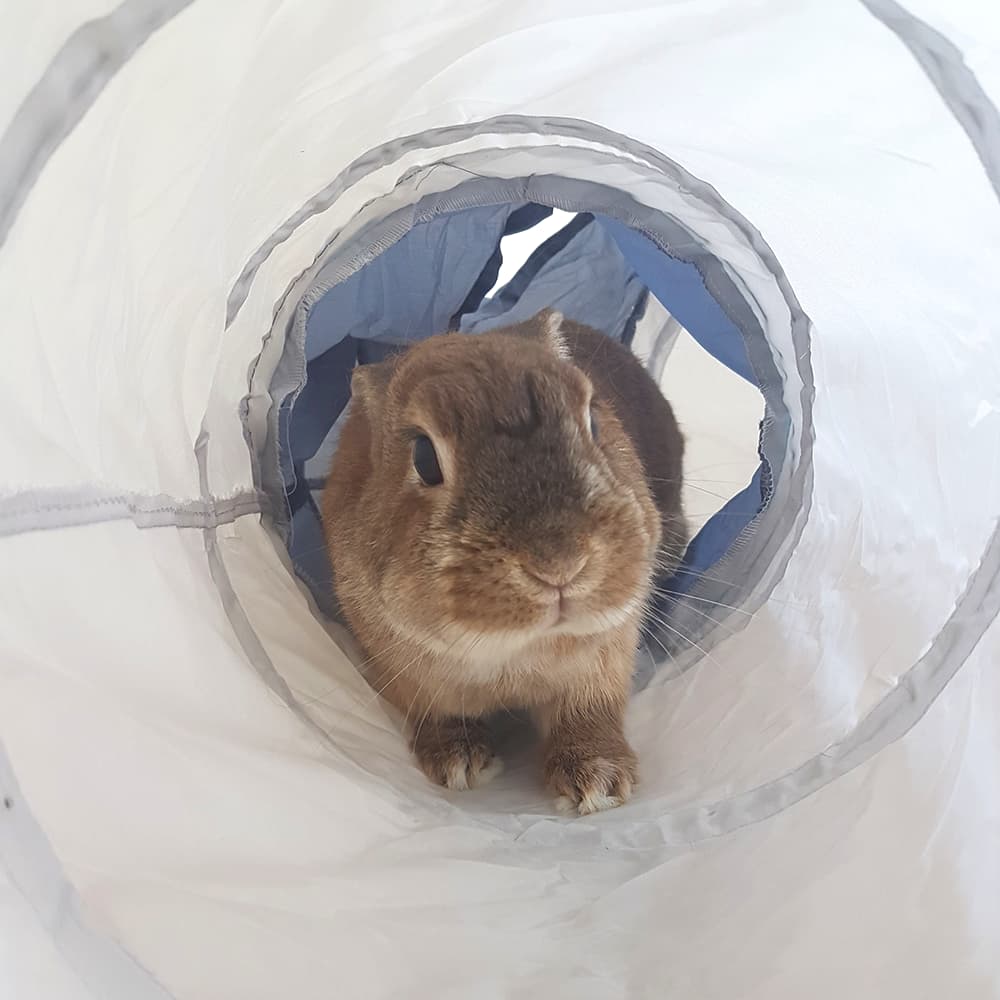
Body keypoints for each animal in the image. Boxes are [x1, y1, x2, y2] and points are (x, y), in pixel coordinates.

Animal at [322, 309, 686, 814]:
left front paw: (599, 784)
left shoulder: (604, 657)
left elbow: (588, 711)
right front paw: (456, 764)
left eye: (594, 422)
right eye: (423, 457)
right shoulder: (404, 669)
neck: (512, 648)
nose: (560, 563)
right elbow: (438, 711)